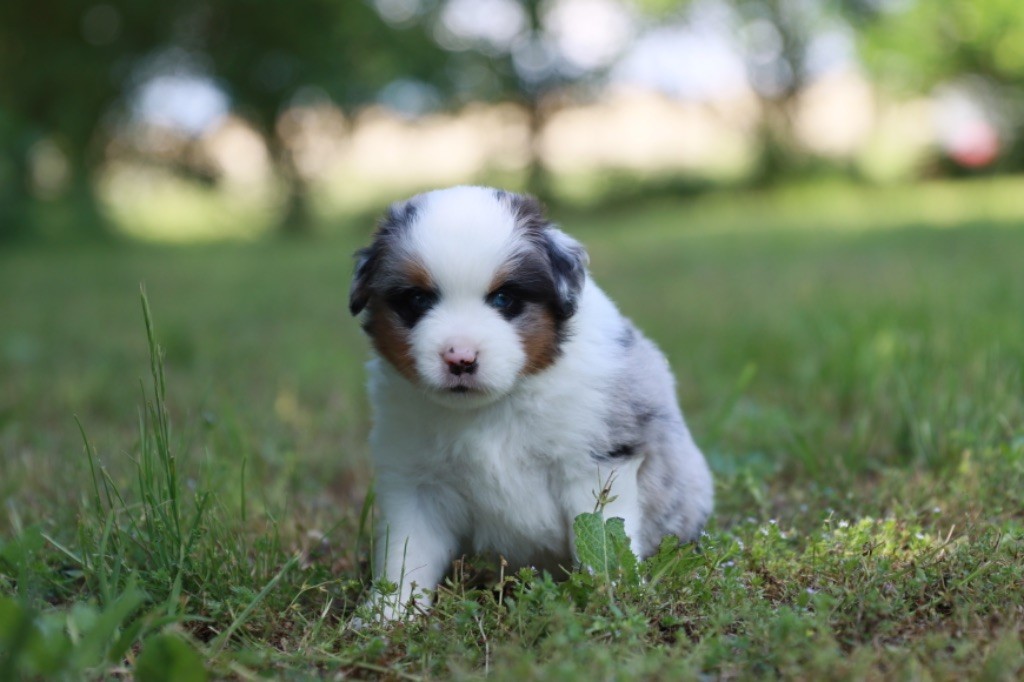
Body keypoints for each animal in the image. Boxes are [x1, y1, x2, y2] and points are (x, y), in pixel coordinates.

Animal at [350, 186, 712, 614]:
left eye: (504, 299)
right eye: (418, 300)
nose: (460, 358)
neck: (494, 406)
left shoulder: (593, 467)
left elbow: (599, 541)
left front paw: (606, 599)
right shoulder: (415, 483)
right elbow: (406, 556)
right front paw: (387, 614)